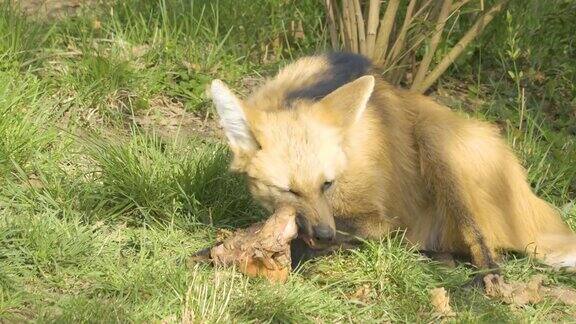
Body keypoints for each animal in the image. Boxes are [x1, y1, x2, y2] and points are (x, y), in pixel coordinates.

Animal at [210, 53, 576, 276]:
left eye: (326, 184)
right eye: (289, 191)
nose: (325, 234)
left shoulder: (380, 220)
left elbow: (338, 233)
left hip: (435, 136)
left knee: (485, 250)